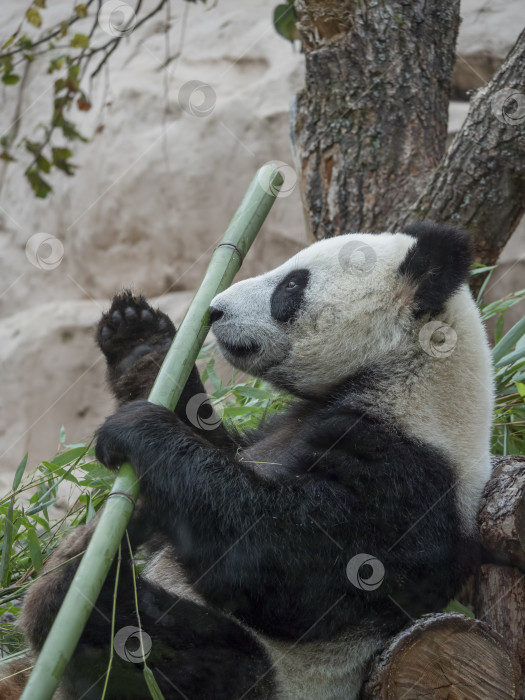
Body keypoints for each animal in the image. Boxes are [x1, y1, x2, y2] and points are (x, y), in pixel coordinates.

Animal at [16, 223, 492, 700]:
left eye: (292, 285)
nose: (214, 310)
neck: (406, 373)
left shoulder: (405, 474)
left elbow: (283, 564)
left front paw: (139, 428)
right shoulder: (279, 428)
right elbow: (212, 454)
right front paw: (139, 341)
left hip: (260, 677)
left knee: (144, 641)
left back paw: (70, 583)